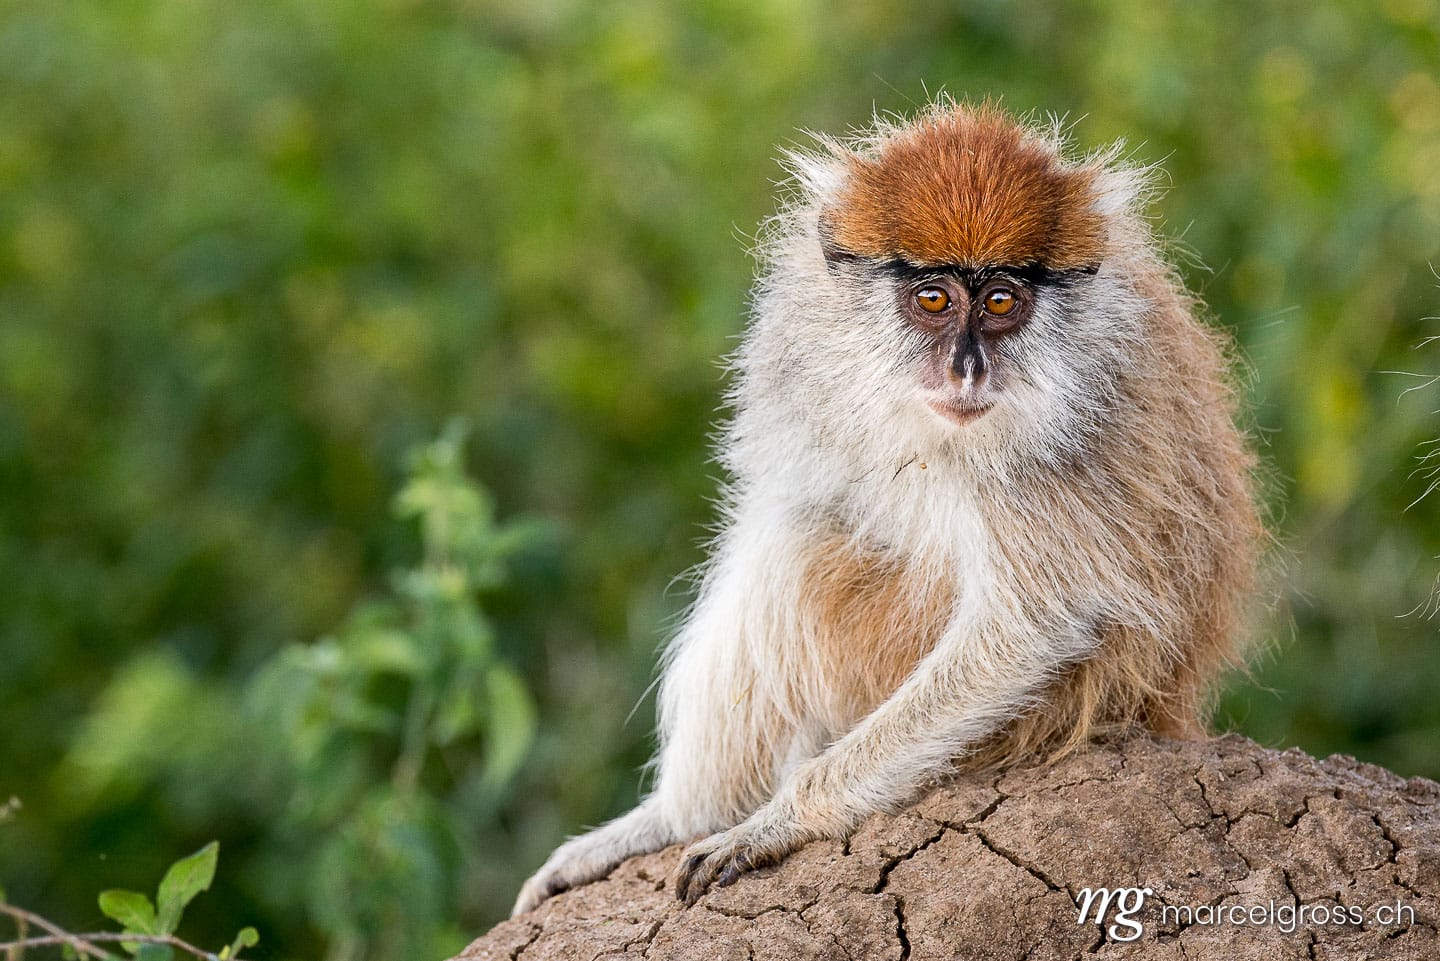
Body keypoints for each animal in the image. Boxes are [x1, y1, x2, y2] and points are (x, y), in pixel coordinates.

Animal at [512, 100, 1261, 915]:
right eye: (933, 298)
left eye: (1001, 301)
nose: (967, 369)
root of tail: (1158, 714)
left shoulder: (1060, 445)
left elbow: (1026, 632)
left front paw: (774, 823)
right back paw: (668, 822)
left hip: (1023, 717)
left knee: (797, 554)